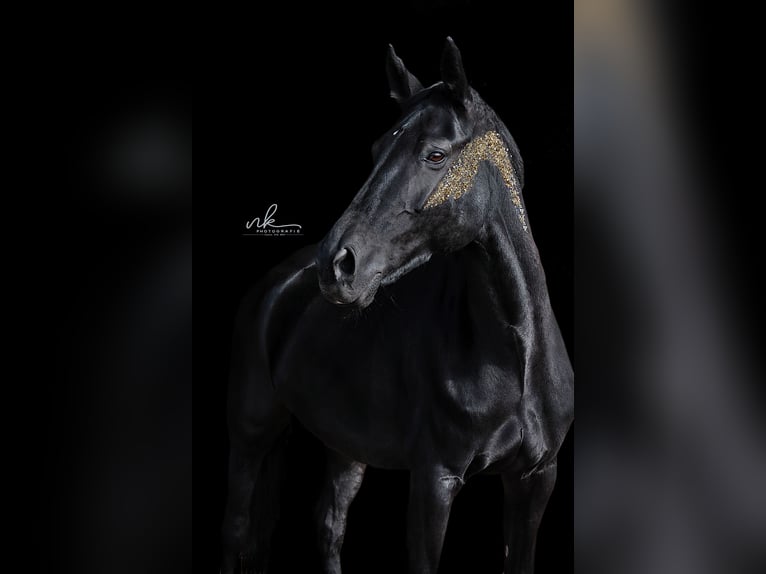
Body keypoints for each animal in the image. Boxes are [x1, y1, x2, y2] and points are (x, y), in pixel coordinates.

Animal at [221, 38, 573, 574]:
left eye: (435, 154)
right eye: (376, 150)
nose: (336, 264)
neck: (515, 358)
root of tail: (277, 286)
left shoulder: (536, 479)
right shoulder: (434, 482)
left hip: (344, 445)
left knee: (329, 524)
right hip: (250, 434)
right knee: (237, 531)